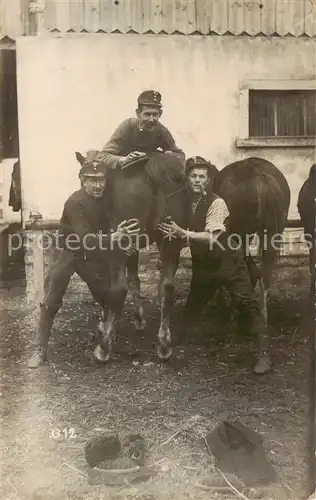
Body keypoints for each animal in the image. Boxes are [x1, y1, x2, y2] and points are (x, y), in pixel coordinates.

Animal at [75, 150, 188, 362]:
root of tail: (151, 171)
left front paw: (106, 323)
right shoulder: (134, 248)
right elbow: (135, 280)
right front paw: (139, 318)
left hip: (120, 245)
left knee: (118, 289)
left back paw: (104, 347)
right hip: (171, 239)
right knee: (167, 287)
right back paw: (164, 343)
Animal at [212, 156, 292, 324]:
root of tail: (261, 175)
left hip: (241, 233)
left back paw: (235, 311)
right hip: (274, 230)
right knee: (264, 270)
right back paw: (262, 314)